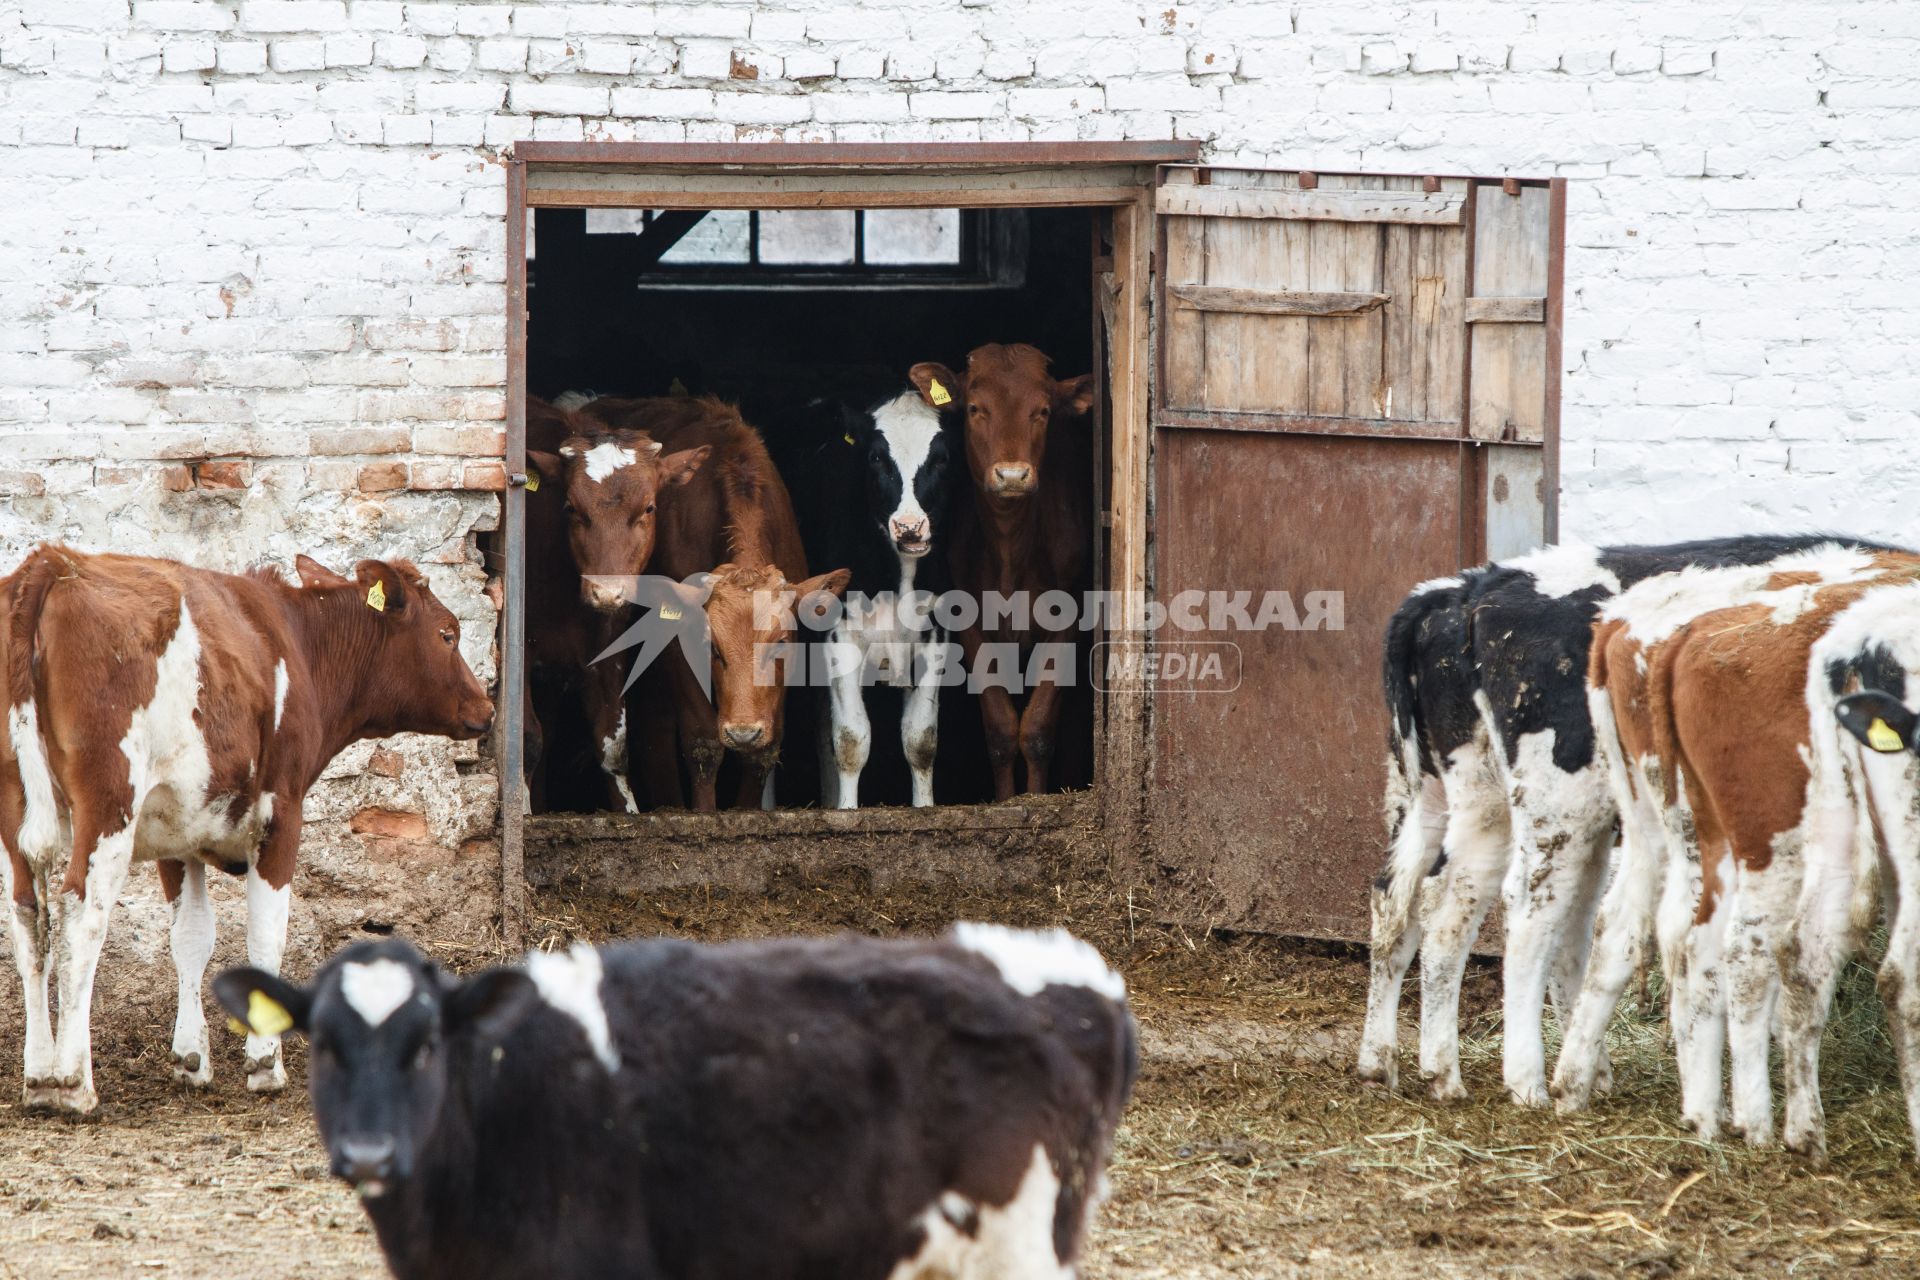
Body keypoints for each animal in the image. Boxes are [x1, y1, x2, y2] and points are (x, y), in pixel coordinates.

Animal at [0, 541, 495, 1113]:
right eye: (447, 634)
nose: (487, 707)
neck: (297, 644)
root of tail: (54, 562)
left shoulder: (178, 831)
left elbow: (191, 936)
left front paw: (191, 1059)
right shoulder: (282, 812)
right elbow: (267, 931)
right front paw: (265, 1062)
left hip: (15, 812)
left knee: (28, 920)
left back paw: (38, 1077)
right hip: (108, 803)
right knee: (81, 916)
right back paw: (73, 1080)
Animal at [810, 383, 960, 809]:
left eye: (941, 458)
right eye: (876, 457)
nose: (909, 527)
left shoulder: (935, 634)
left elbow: (920, 738)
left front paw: (924, 808)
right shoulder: (839, 634)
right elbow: (850, 738)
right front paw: (846, 811)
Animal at [913, 339, 1098, 802]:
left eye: (1043, 411)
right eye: (975, 408)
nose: (1012, 475)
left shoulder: (1069, 616)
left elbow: (1036, 728)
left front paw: (1033, 799)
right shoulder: (970, 621)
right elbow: (999, 730)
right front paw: (1006, 801)